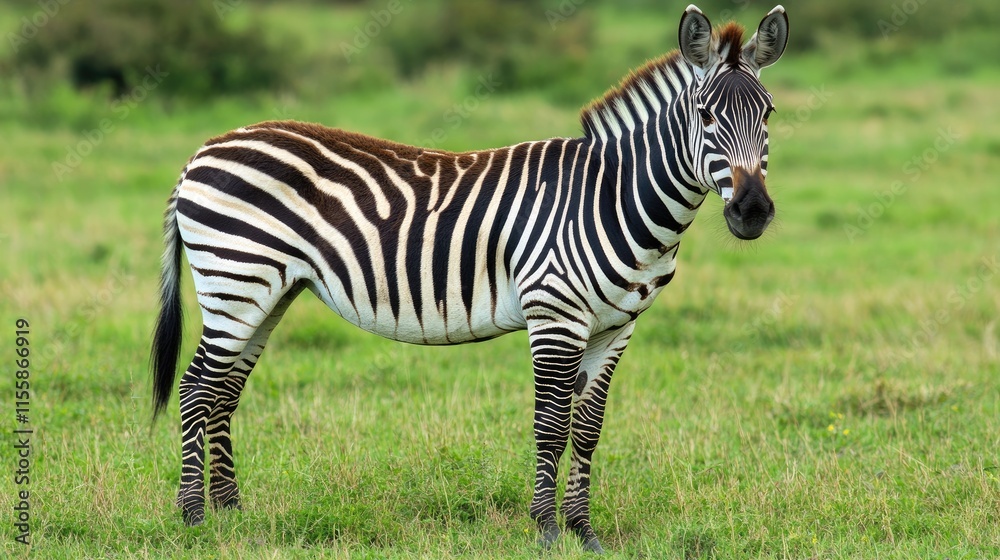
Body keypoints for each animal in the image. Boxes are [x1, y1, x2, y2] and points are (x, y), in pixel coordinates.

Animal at [151, 4, 788, 553]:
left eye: (769, 114)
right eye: (705, 115)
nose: (752, 212)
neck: (612, 198)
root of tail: (204, 150)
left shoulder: (617, 327)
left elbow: (587, 430)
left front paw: (585, 534)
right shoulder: (554, 315)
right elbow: (550, 425)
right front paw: (546, 533)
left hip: (265, 293)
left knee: (224, 392)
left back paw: (232, 515)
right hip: (235, 280)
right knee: (196, 388)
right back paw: (193, 518)